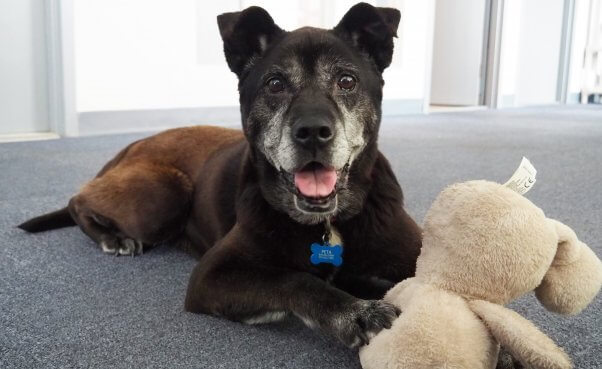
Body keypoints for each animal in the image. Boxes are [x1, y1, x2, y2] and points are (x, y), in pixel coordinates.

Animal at [19, 3, 422, 348]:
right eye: (275, 84)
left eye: (347, 81)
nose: (312, 132)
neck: (327, 225)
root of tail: (135, 143)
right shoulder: (213, 275)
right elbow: (297, 279)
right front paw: (356, 312)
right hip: (161, 200)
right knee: (79, 200)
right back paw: (112, 237)